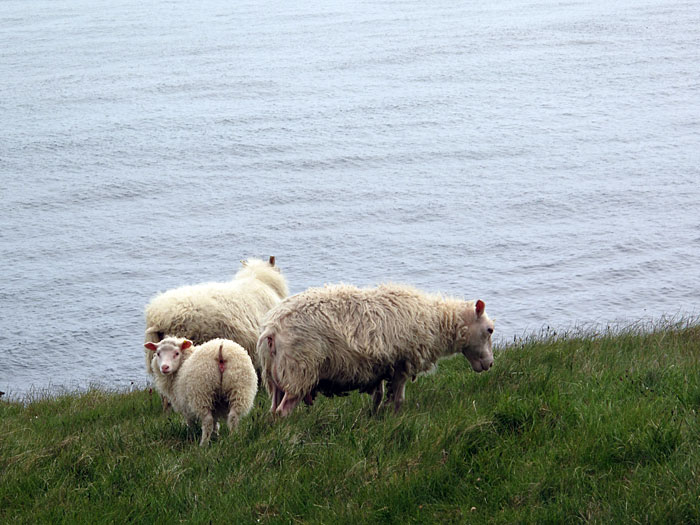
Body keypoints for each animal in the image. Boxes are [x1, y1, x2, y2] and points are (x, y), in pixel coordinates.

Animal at [256, 284, 492, 416]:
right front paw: (394, 419)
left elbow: (378, 397)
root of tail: (272, 330)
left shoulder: (378, 368)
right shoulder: (402, 365)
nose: (490, 364)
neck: (435, 321)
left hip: (275, 377)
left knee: (273, 411)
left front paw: (374, 417)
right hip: (298, 371)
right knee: (283, 411)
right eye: (490, 329)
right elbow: (397, 400)